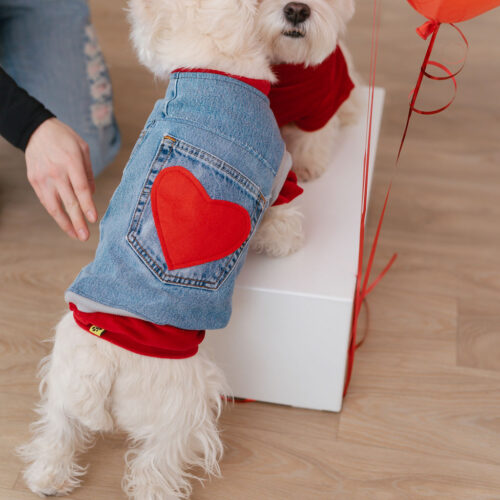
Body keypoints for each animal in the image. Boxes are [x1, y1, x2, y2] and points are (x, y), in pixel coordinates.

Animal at [17, 1, 290, 498]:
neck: (218, 63)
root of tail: (106, 362)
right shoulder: (281, 169)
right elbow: (283, 212)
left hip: (65, 372)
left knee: (59, 426)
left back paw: (47, 476)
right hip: (181, 407)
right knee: (157, 462)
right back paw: (155, 489)